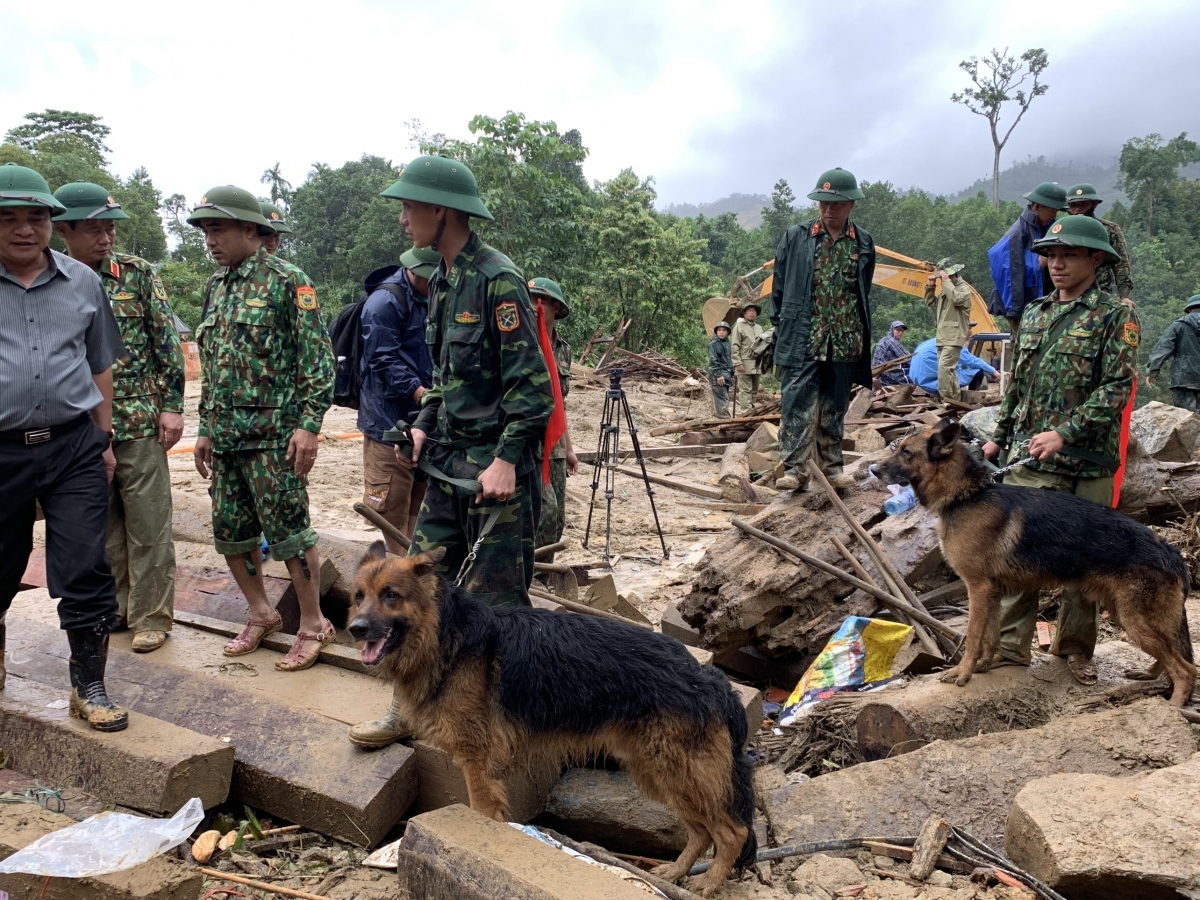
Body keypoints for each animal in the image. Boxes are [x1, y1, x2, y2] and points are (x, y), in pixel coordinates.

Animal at [350, 542, 753, 897]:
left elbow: (482, 812)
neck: (446, 635)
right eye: (358, 596)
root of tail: (707, 676)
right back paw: (676, 871)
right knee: (700, 831)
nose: (355, 628)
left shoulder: (477, 763)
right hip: (657, 771)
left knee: (733, 832)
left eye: (391, 595)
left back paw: (708, 883)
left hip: (675, 769)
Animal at [878, 420, 1195, 710]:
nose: (874, 470)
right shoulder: (991, 593)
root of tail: (1173, 553)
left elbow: (973, 637)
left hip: (1135, 620)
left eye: (906, 452)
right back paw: (1150, 676)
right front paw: (983, 665)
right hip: (1126, 614)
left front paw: (962, 672)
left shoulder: (977, 590)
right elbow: (990, 636)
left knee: (1186, 669)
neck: (968, 495)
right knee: (1172, 655)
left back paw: (1175, 706)